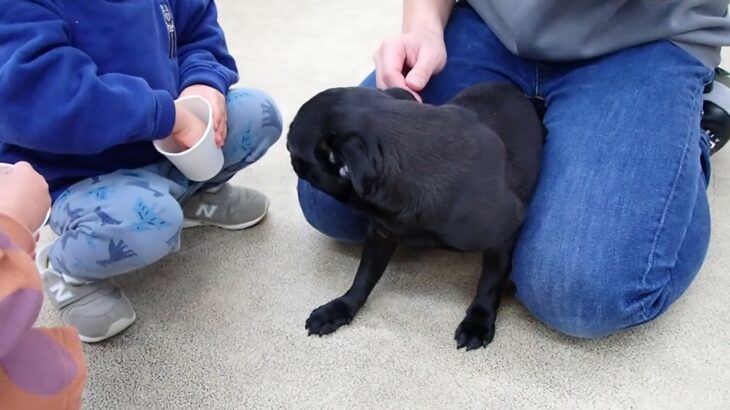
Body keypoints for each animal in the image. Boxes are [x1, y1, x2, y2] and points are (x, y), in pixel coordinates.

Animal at [288, 82, 544, 350]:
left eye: (291, 144)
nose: (286, 142)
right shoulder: (382, 233)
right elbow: (364, 275)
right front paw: (341, 308)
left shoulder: (504, 235)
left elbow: (490, 283)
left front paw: (478, 321)